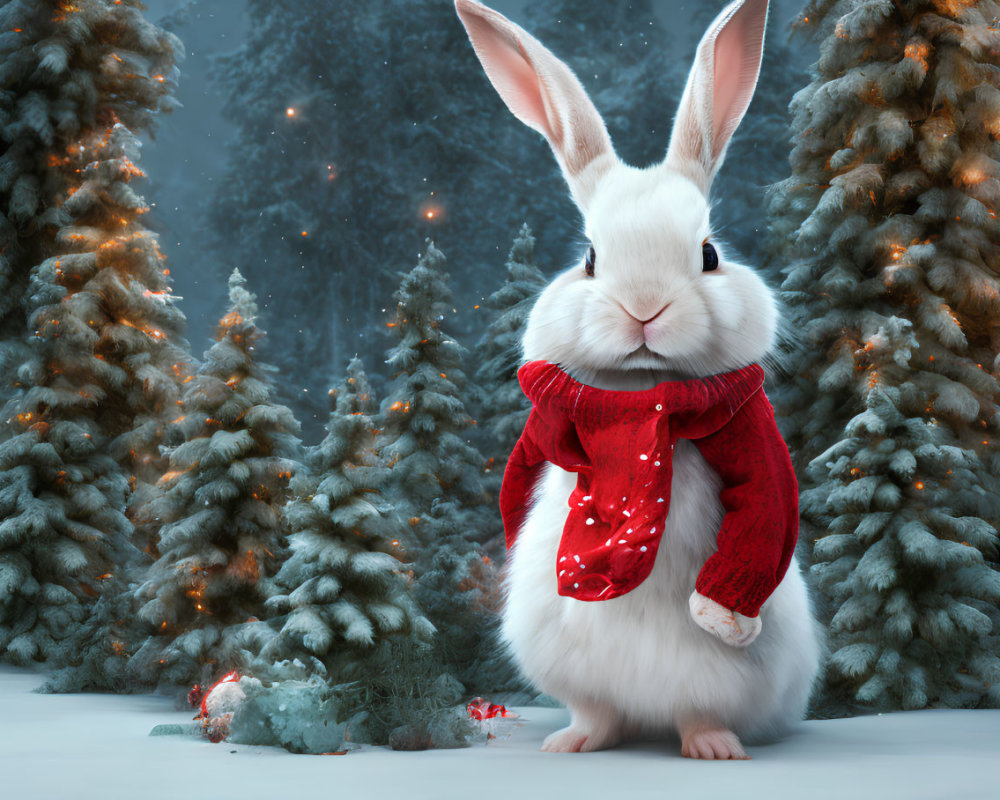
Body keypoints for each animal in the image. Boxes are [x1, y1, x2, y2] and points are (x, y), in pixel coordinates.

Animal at [458, 0, 824, 760]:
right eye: (590, 258)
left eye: (709, 254)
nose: (644, 307)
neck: (640, 401)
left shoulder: (749, 432)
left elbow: (767, 504)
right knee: (599, 711)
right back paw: (572, 742)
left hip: (725, 677)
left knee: (698, 709)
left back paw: (712, 747)